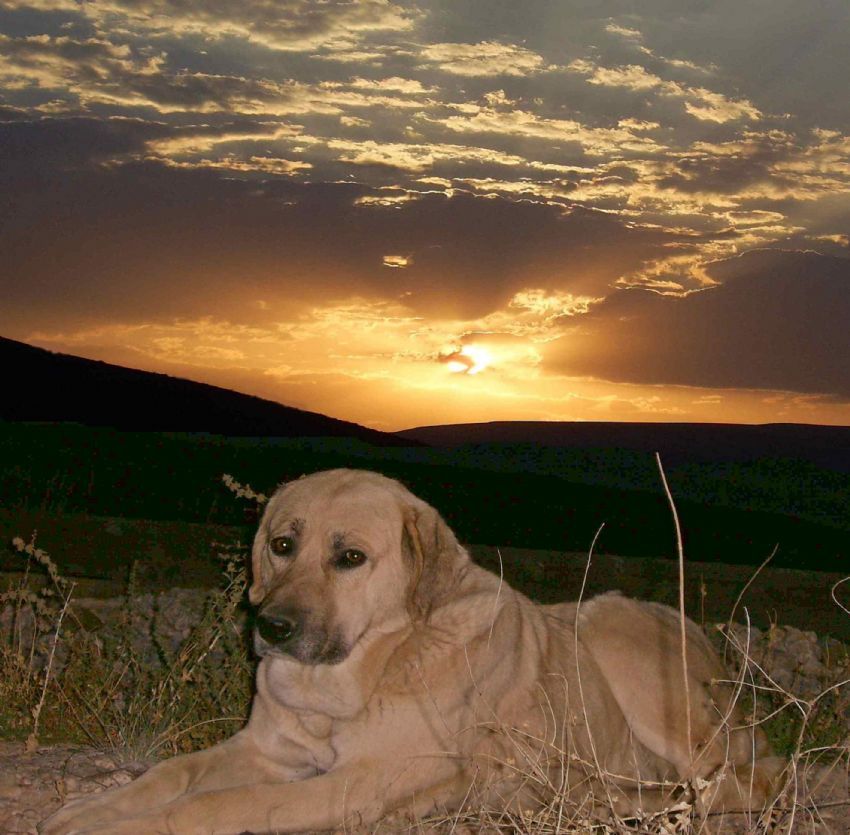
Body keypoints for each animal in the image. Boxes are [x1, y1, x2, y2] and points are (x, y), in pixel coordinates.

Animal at [39, 466, 780, 832]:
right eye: (282, 544)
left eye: (350, 557)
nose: (271, 626)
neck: (367, 668)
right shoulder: (265, 750)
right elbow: (168, 776)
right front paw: (92, 809)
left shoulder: (360, 782)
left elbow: (217, 805)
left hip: (621, 642)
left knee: (749, 780)